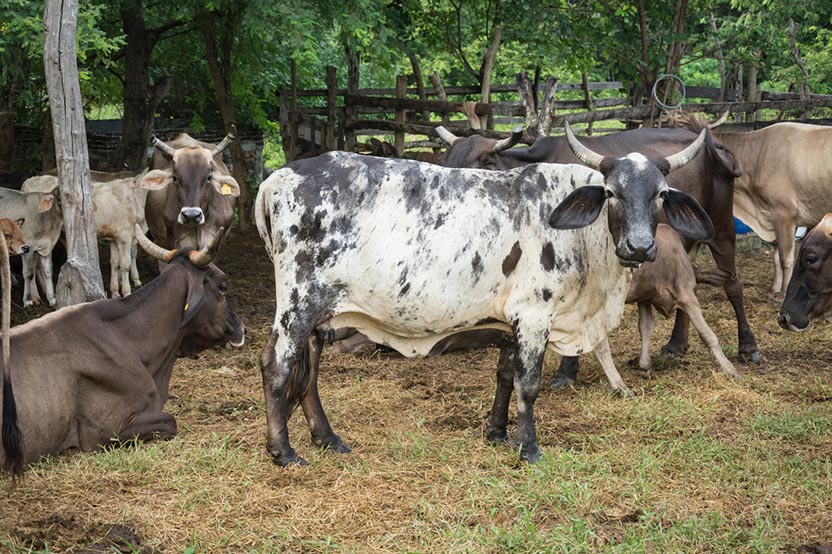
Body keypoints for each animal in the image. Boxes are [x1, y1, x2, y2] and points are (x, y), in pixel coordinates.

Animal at [254, 124, 713, 466]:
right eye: (613, 193)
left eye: (660, 194)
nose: (639, 247)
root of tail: (280, 176)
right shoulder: (534, 315)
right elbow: (529, 384)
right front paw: (529, 448)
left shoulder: (511, 319)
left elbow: (506, 375)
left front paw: (498, 432)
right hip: (298, 304)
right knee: (278, 364)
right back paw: (283, 451)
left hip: (321, 313)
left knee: (309, 370)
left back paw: (326, 438)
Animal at [437, 124, 759, 389]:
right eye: (445, 165)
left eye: (473, 169)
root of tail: (712, 144)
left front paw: (567, 371)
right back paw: (676, 344)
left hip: (721, 228)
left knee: (733, 284)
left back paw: (748, 346)